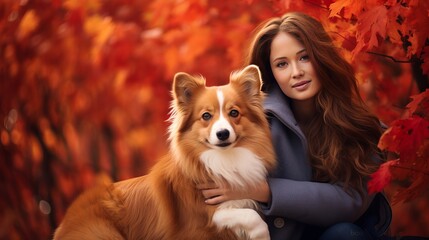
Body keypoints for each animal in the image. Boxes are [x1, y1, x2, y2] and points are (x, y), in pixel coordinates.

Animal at [52, 64, 274, 239]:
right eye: (206, 116)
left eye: (234, 113)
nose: (222, 134)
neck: (223, 159)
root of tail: (64, 223)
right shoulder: (200, 220)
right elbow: (250, 218)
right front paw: (262, 235)